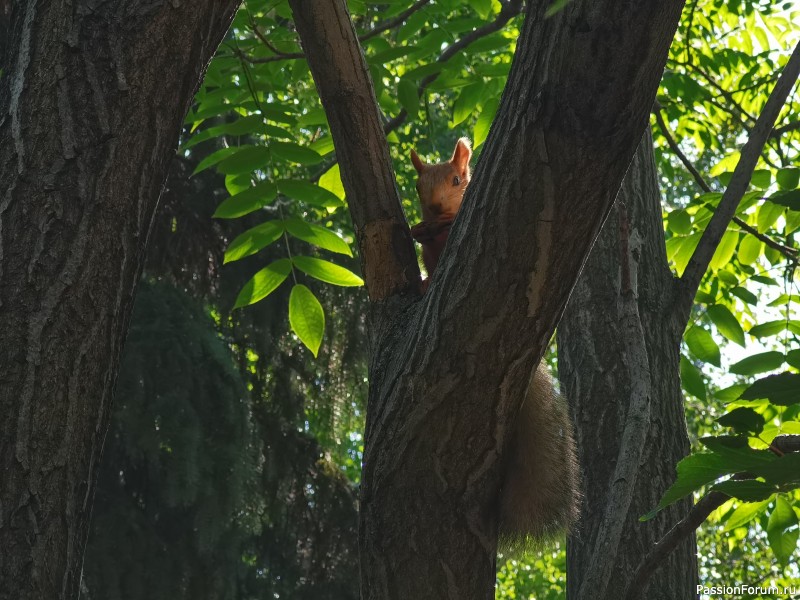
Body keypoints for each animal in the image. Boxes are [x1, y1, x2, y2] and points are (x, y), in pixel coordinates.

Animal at [410, 138, 580, 552]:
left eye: (458, 180)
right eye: (419, 187)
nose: (434, 208)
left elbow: (450, 227)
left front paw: (437, 224)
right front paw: (420, 227)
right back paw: (425, 284)